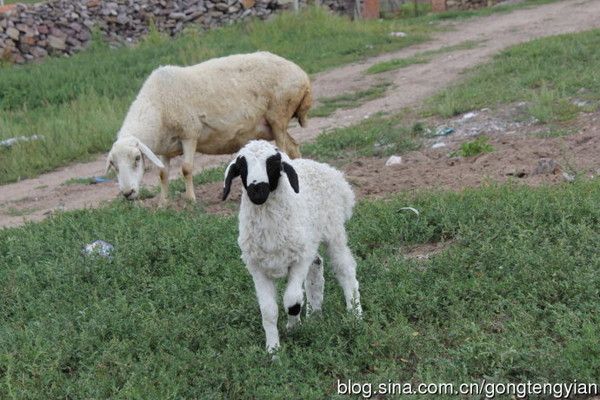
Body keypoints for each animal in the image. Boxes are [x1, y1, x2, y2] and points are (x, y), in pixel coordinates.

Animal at [105, 51, 312, 205]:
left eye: (137, 158)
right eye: (113, 165)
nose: (127, 193)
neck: (157, 105)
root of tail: (302, 75)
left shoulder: (189, 133)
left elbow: (186, 169)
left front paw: (191, 200)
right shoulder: (166, 148)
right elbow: (163, 173)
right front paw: (163, 204)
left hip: (279, 113)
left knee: (284, 150)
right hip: (272, 125)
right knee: (294, 147)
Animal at [221, 139, 358, 352]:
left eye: (273, 164)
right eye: (242, 166)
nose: (257, 191)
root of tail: (333, 173)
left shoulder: (299, 261)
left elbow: (292, 301)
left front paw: (293, 328)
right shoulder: (257, 268)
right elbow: (268, 311)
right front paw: (273, 350)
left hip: (333, 232)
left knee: (346, 270)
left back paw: (355, 314)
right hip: (308, 240)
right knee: (316, 266)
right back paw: (315, 314)